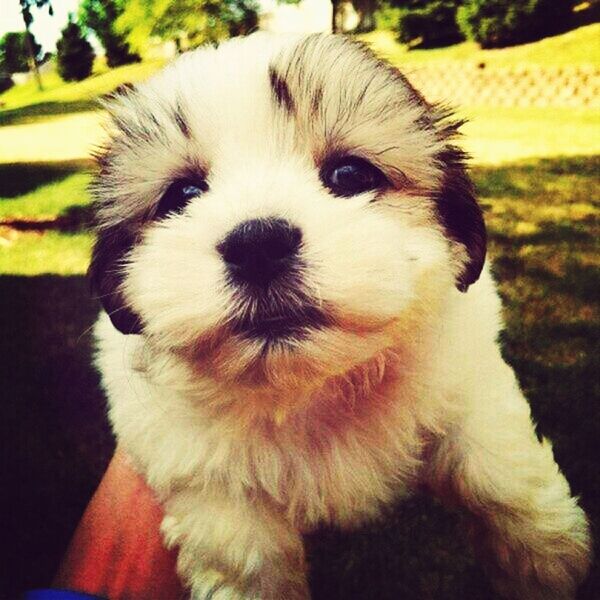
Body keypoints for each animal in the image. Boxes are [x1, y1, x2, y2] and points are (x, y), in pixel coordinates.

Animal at [89, 34, 592, 600]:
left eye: (350, 175)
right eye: (183, 196)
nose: (257, 243)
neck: (312, 386)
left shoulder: (465, 365)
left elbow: (495, 464)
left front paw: (543, 550)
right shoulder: (187, 458)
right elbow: (243, 552)